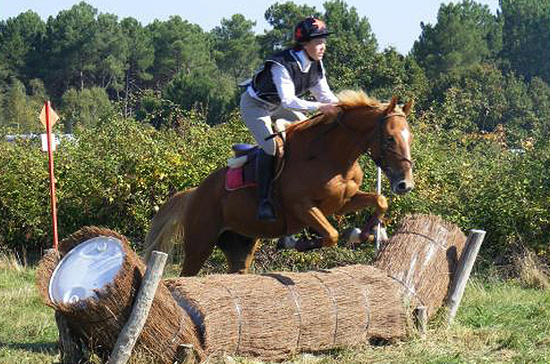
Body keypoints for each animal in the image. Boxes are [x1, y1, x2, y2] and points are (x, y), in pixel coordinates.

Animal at [143, 90, 414, 276]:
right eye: (390, 139)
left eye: (409, 137)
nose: (405, 185)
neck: (333, 157)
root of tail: (195, 192)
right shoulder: (301, 206)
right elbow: (331, 234)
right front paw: (296, 242)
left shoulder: (342, 202)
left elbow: (380, 200)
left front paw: (365, 233)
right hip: (200, 242)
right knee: (187, 273)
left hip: (239, 244)